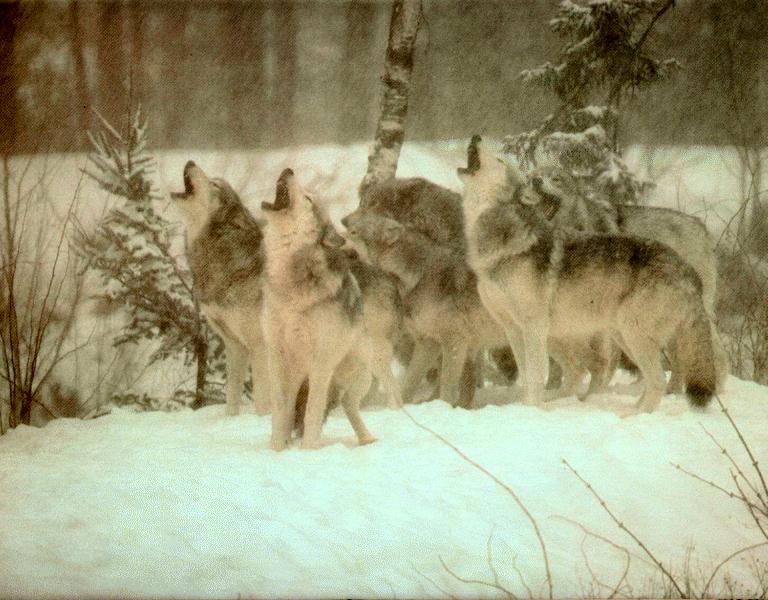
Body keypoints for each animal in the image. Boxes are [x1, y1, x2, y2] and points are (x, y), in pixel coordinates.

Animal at [260, 168, 379, 450]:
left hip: (360, 377)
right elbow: (279, 413)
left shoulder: (321, 363)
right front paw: (276, 450)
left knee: (348, 405)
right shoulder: (276, 358)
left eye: (308, 199)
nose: (288, 169)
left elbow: (313, 413)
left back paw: (367, 439)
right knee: (293, 410)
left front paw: (308, 451)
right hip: (298, 378)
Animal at [458, 136, 719, 414]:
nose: (476, 137)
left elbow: (536, 375)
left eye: (498, 159)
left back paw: (631, 415)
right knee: (647, 380)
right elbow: (528, 377)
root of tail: (687, 269)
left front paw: (533, 410)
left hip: (631, 335)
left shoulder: (534, 327)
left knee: (657, 380)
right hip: (622, 337)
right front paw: (526, 409)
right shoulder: (513, 329)